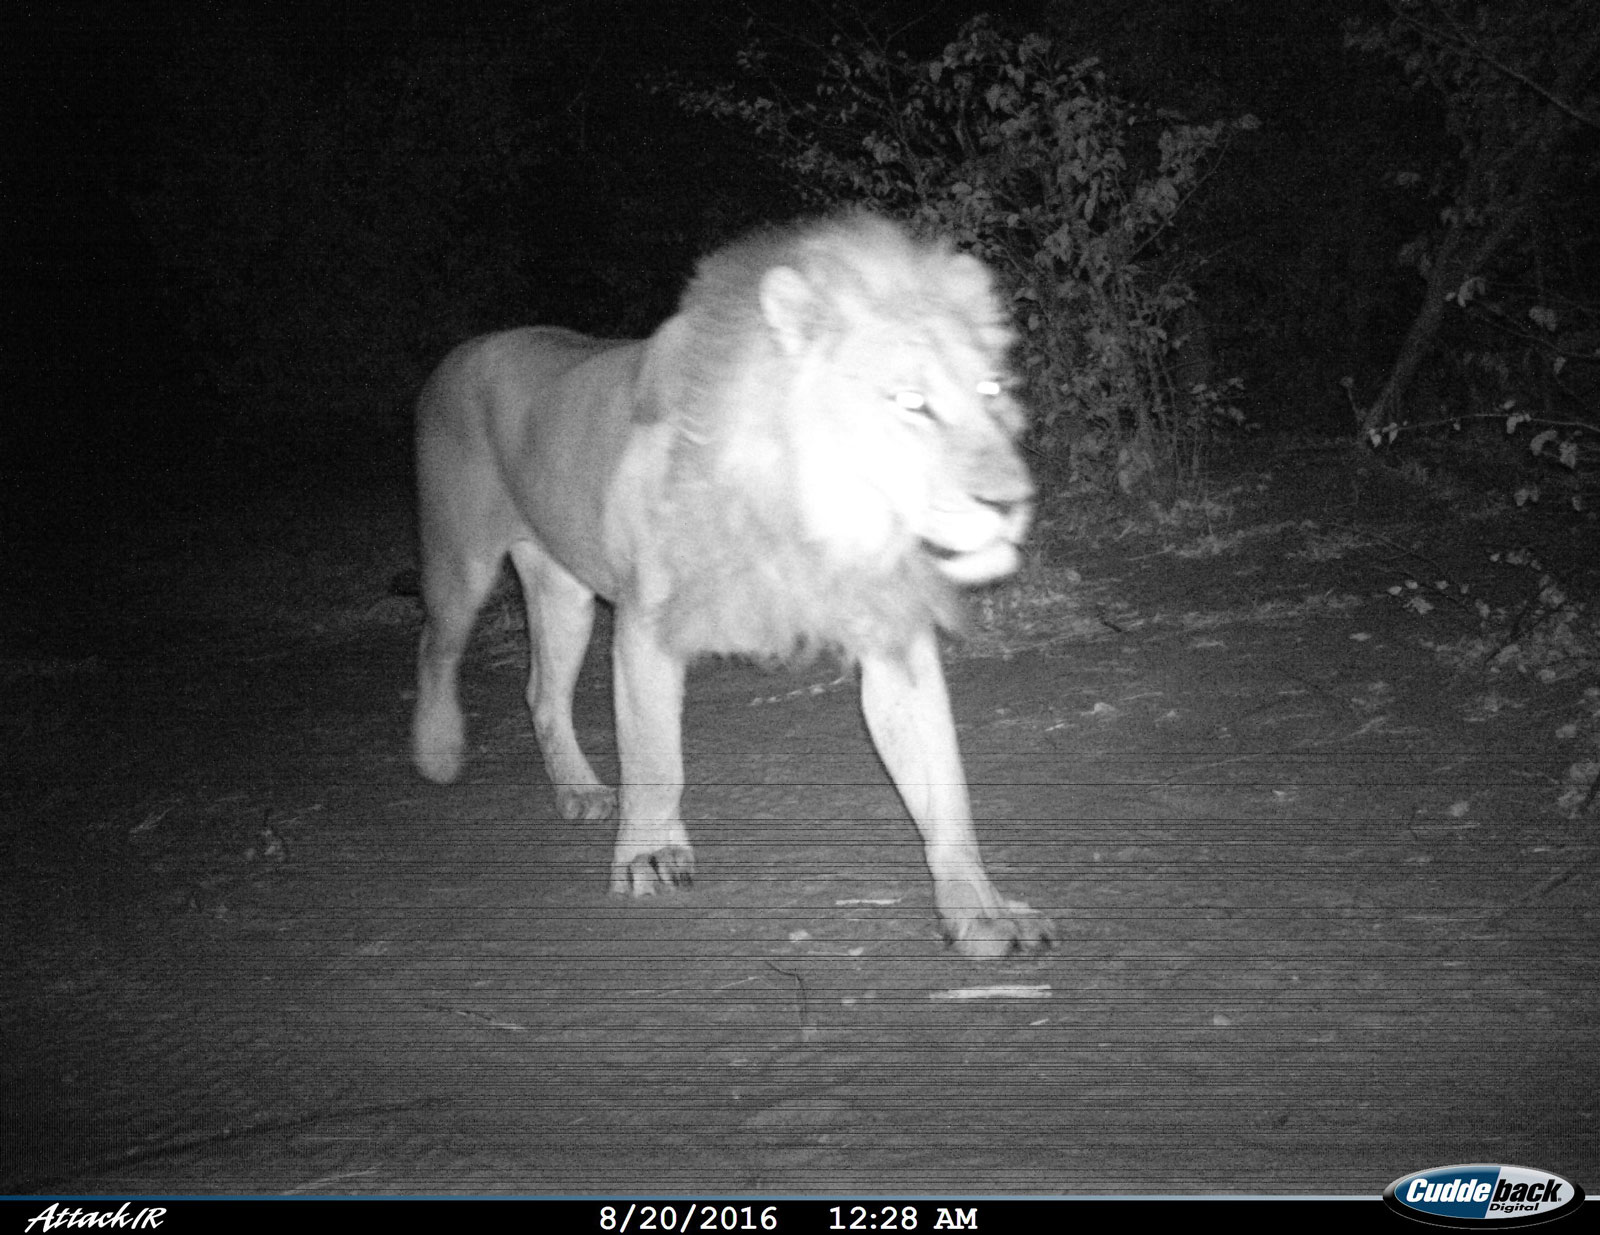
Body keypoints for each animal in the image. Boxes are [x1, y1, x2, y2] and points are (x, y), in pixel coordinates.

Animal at [419, 212, 1056, 953]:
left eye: (992, 390)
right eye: (911, 402)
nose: (1012, 502)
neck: (816, 507)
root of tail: (465, 350)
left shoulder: (892, 633)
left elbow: (943, 782)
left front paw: (981, 910)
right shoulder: (646, 623)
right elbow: (654, 757)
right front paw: (648, 855)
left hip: (563, 591)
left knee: (542, 694)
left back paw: (579, 790)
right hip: (460, 561)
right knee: (435, 646)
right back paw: (438, 749)